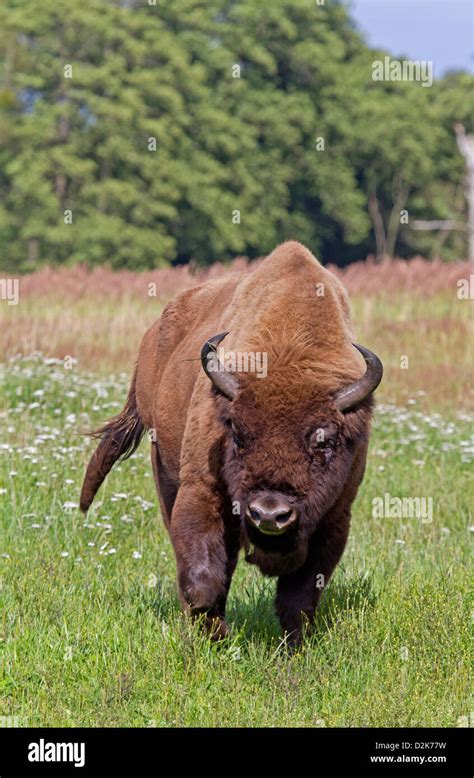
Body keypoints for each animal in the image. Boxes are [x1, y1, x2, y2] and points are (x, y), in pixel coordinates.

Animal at [80, 242, 382, 644]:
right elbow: (204, 578)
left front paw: (293, 647)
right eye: (237, 434)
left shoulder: (335, 517)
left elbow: (299, 596)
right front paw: (216, 633)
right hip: (164, 469)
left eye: (325, 441)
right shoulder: (201, 490)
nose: (269, 513)